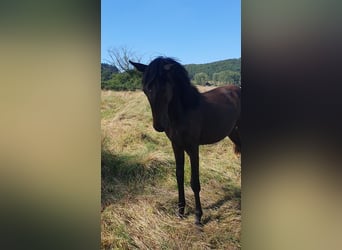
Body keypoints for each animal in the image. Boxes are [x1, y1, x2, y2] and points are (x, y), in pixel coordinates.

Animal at [129, 57, 240, 225]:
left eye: (164, 88)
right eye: (146, 89)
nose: (159, 126)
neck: (183, 112)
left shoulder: (193, 148)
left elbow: (194, 182)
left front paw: (198, 217)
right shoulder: (176, 145)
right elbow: (179, 176)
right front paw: (180, 212)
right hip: (233, 132)